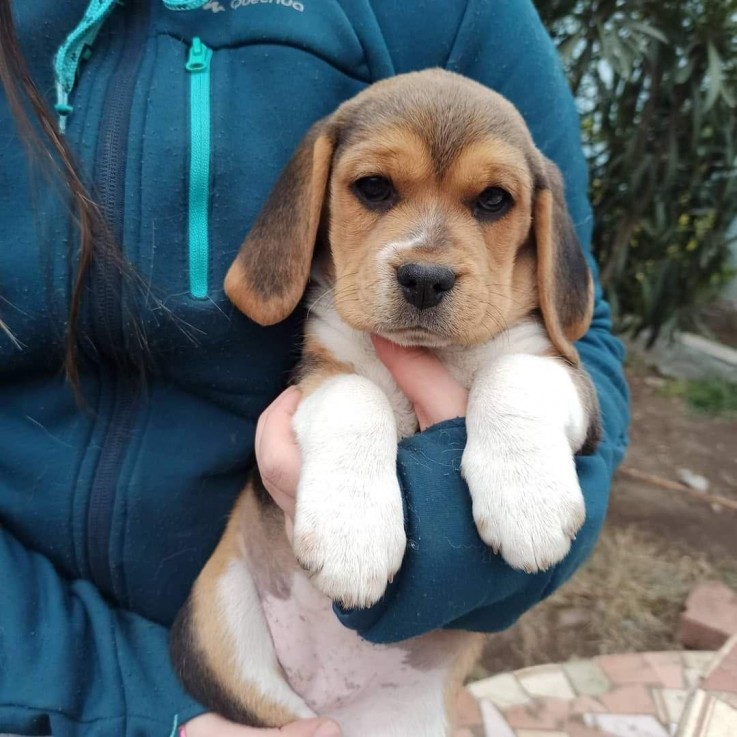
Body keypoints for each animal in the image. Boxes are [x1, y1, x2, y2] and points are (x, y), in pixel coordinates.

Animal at [171, 69, 600, 736]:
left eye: (493, 201)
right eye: (373, 189)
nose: (425, 278)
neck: (437, 354)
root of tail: (332, 701)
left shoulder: (560, 369)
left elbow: (513, 374)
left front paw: (528, 502)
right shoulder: (318, 373)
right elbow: (357, 394)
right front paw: (354, 538)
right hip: (220, 622)